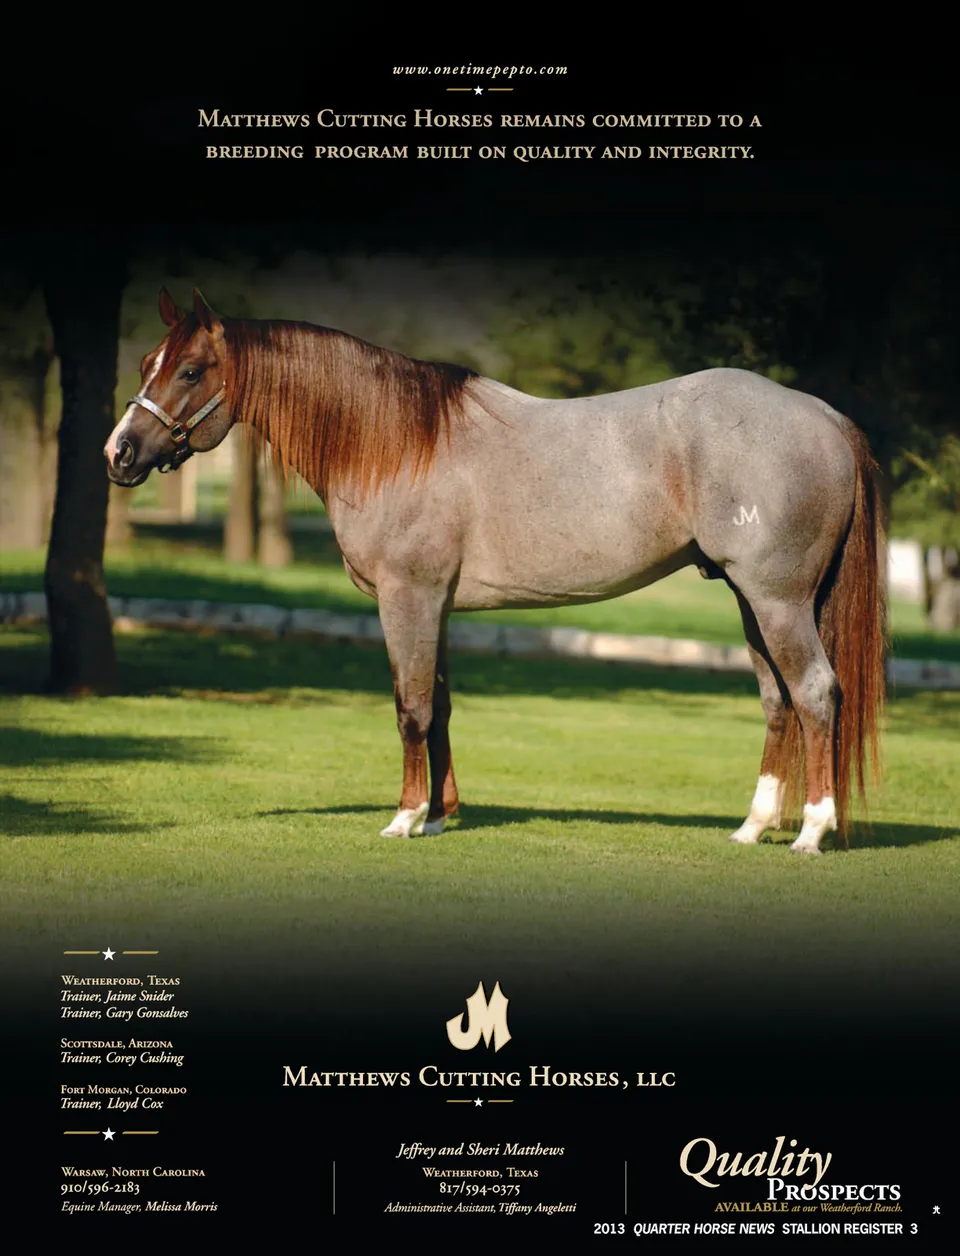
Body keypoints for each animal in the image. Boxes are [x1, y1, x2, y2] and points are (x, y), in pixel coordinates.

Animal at [105, 287, 885, 853]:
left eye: (191, 370)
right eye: (146, 363)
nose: (120, 453)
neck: (398, 443)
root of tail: (824, 417)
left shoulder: (407, 599)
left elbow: (411, 707)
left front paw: (404, 819)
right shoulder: (438, 606)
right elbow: (442, 703)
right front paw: (441, 815)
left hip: (778, 601)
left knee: (815, 693)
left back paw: (811, 831)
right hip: (753, 603)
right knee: (778, 702)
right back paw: (753, 827)